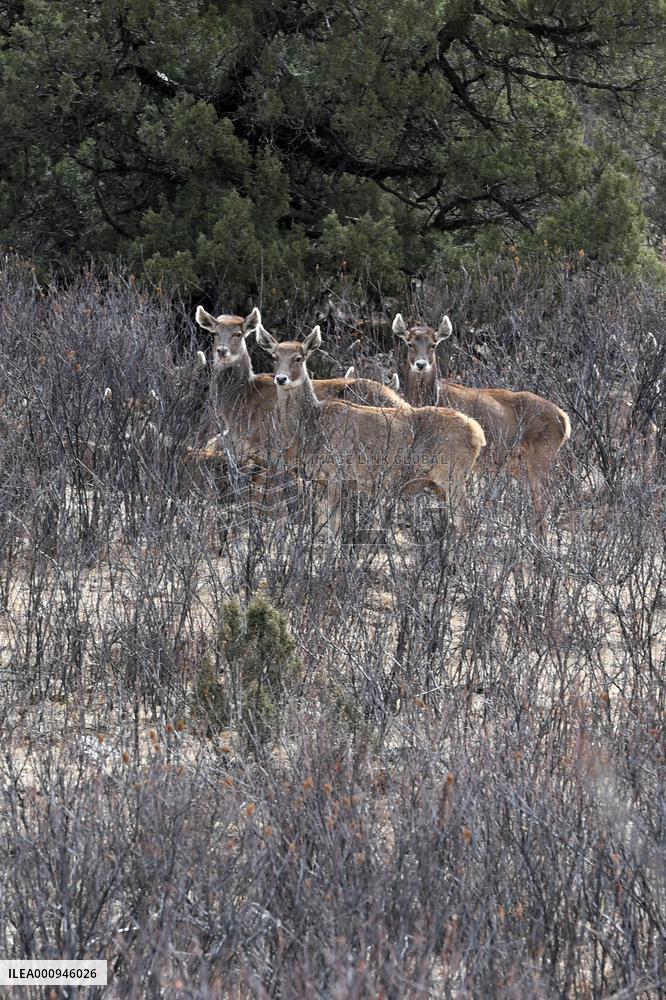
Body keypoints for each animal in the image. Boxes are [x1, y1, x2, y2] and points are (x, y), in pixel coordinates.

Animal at [255, 323, 486, 533]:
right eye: (274, 357)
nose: (281, 378)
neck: (312, 425)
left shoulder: (336, 471)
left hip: (453, 473)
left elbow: (335, 525)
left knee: (465, 521)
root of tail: (478, 433)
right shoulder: (319, 480)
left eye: (298, 358)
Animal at [392, 313, 571, 525]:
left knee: (546, 501)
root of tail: (565, 421)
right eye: (409, 343)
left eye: (433, 344)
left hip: (541, 457)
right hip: (518, 465)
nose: (421, 364)